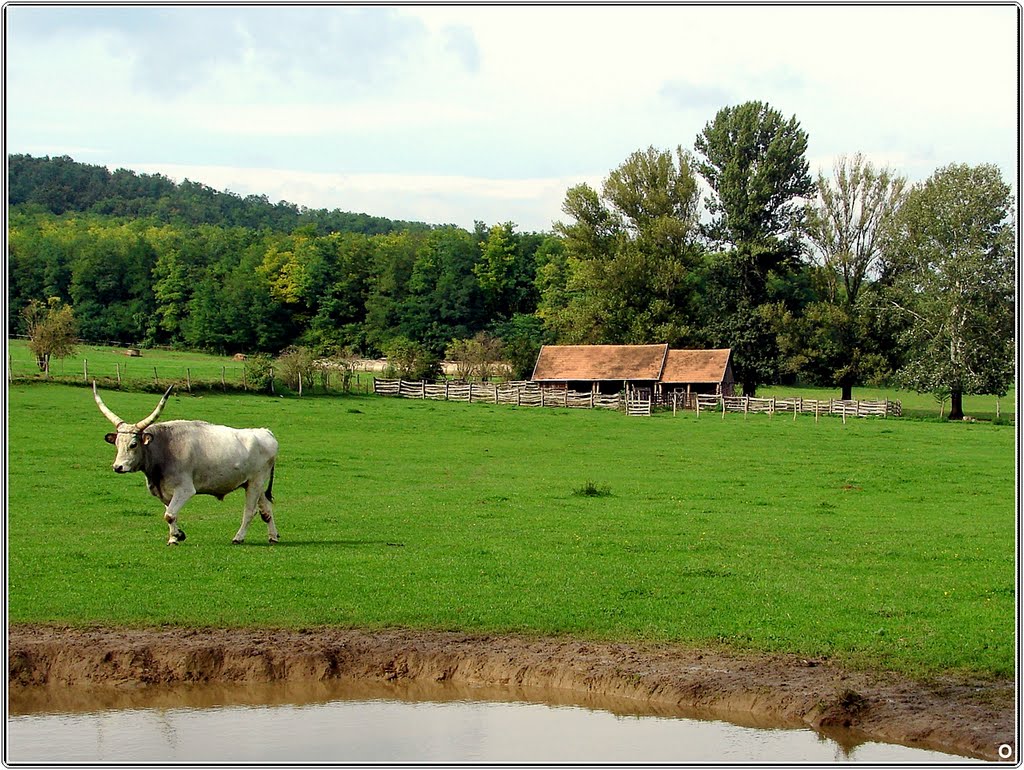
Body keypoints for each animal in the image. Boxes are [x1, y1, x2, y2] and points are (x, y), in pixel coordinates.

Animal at [94, 382, 280, 544]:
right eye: (117, 443)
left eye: (133, 444)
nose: (118, 467)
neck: (164, 447)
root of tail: (266, 432)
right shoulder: (166, 493)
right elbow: (171, 513)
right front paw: (175, 535)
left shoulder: (185, 489)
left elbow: (169, 515)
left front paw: (175, 537)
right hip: (254, 484)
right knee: (266, 510)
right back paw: (273, 536)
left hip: (255, 483)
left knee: (250, 511)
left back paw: (238, 537)